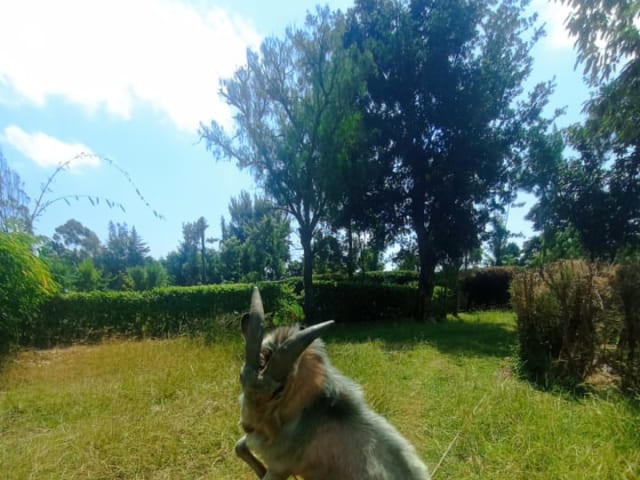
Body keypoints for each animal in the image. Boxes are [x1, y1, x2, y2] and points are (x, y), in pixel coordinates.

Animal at [235, 286, 430, 479]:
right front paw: (260, 469)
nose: (247, 426)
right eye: (241, 376)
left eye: (279, 390)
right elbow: (239, 447)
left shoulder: (281, 467)